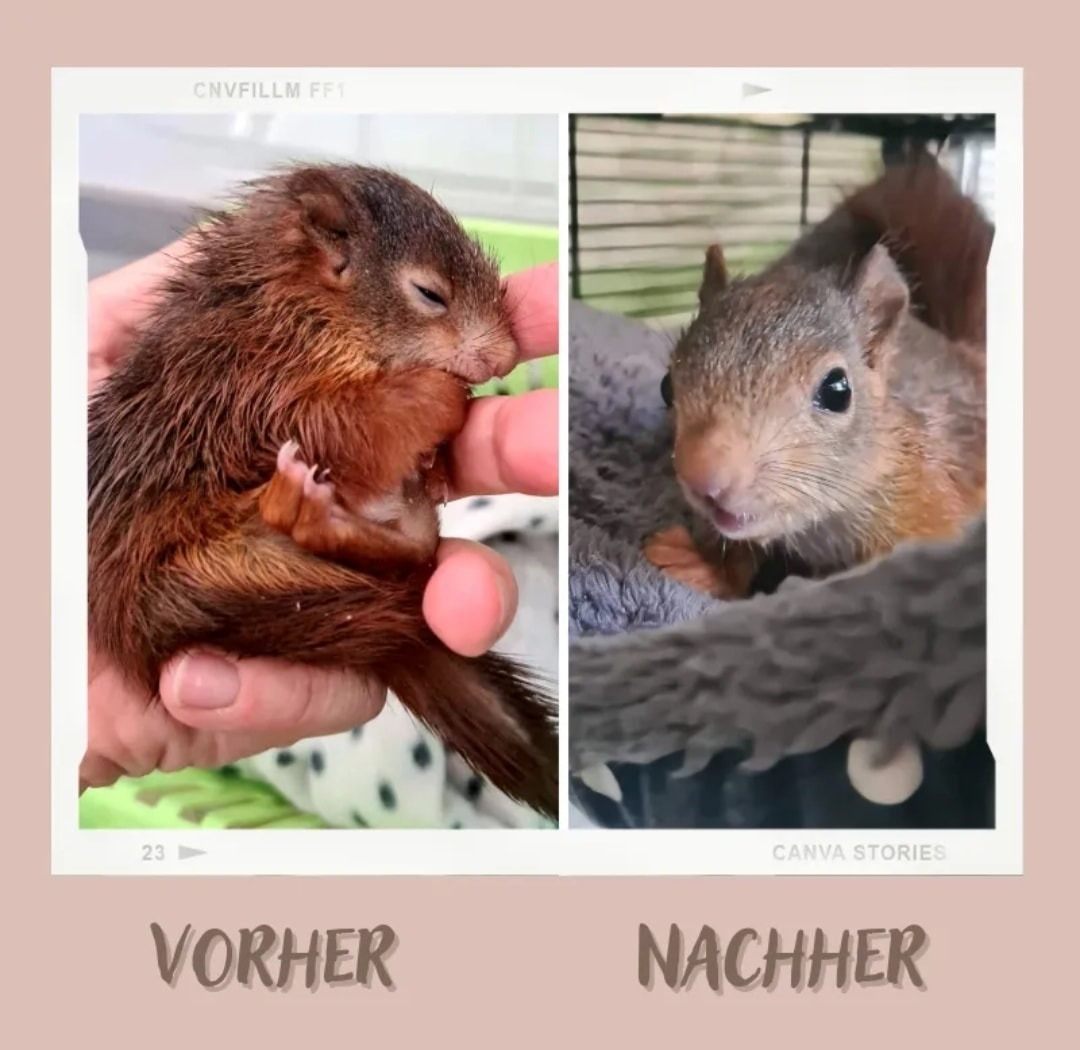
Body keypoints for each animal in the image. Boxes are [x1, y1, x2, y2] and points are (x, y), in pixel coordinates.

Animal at [88, 163, 558, 820]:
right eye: (430, 294)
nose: (506, 359)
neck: (301, 305)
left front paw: (437, 461)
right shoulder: (266, 389)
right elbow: (348, 422)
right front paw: (442, 399)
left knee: (415, 551)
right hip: (224, 562)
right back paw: (301, 498)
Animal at [644, 155, 991, 599]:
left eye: (838, 391)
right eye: (666, 386)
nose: (704, 475)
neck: (822, 525)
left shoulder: (930, 502)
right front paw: (700, 563)